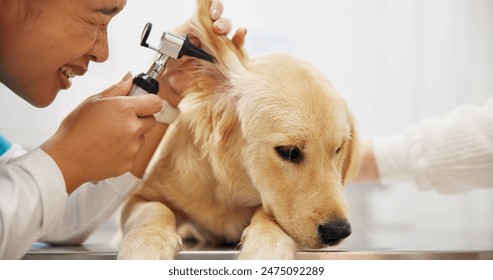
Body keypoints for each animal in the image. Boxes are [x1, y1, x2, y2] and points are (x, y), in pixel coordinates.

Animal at [117, 0, 360, 260]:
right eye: (288, 151)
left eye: (338, 150)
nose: (338, 231)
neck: (230, 191)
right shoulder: (136, 198)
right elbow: (157, 209)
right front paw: (147, 243)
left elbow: (266, 214)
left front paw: (266, 244)